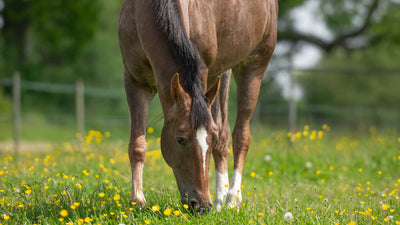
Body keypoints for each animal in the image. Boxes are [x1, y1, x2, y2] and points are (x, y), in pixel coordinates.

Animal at [117, 0, 276, 213]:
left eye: (209, 139)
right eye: (180, 139)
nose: (200, 205)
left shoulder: (202, 70)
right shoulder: (135, 81)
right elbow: (137, 144)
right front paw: (137, 201)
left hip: (254, 66)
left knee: (241, 136)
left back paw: (232, 198)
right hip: (220, 73)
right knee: (223, 134)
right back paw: (220, 200)